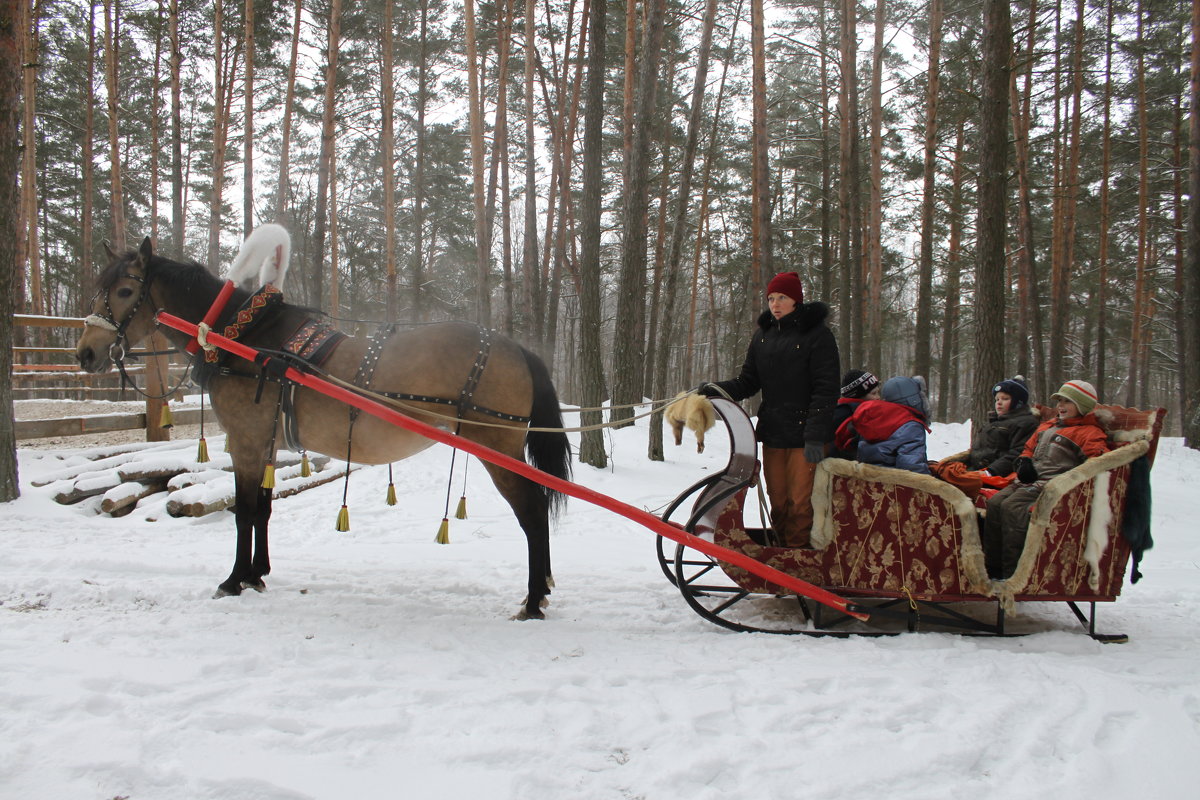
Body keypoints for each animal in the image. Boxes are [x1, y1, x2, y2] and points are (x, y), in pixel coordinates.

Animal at [75, 235, 571, 623]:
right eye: (100, 287)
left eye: (124, 290)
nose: (85, 353)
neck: (246, 340)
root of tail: (518, 348)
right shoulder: (266, 445)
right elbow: (263, 509)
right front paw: (257, 574)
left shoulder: (246, 442)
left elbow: (243, 511)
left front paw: (234, 580)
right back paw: (543, 587)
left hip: (498, 448)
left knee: (531, 512)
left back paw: (533, 599)